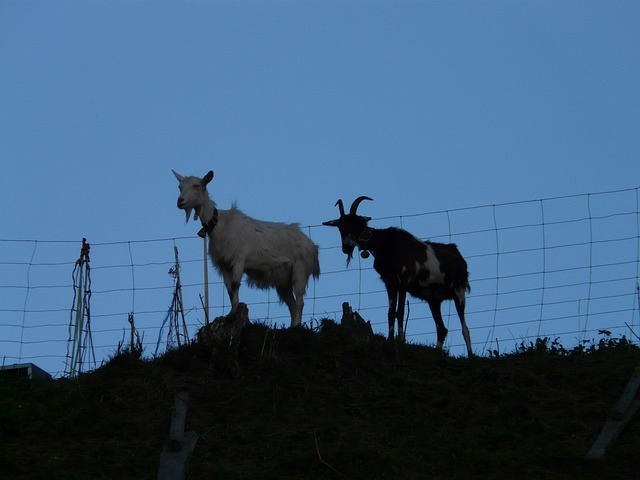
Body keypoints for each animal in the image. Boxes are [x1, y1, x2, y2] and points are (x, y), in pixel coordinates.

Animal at [172, 170, 320, 330]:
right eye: (180, 187)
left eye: (197, 185)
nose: (180, 201)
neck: (219, 225)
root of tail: (312, 246)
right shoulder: (223, 264)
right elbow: (229, 289)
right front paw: (231, 312)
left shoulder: (239, 258)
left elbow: (235, 283)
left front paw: (234, 312)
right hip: (283, 281)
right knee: (292, 305)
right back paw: (291, 327)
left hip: (300, 270)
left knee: (299, 301)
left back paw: (297, 327)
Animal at [322, 196, 472, 356]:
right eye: (340, 226)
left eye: (353, 223)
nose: (345, 248)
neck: (386, 245)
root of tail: (459, 257)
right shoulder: (390, 283)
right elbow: (390, 313)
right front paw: (390, 340)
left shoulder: (403, 281)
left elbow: (400, 311)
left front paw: (400, 340)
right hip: (434, 300)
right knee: (442, 329)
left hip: (458, 291)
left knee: (465, 328)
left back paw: (471, 355)